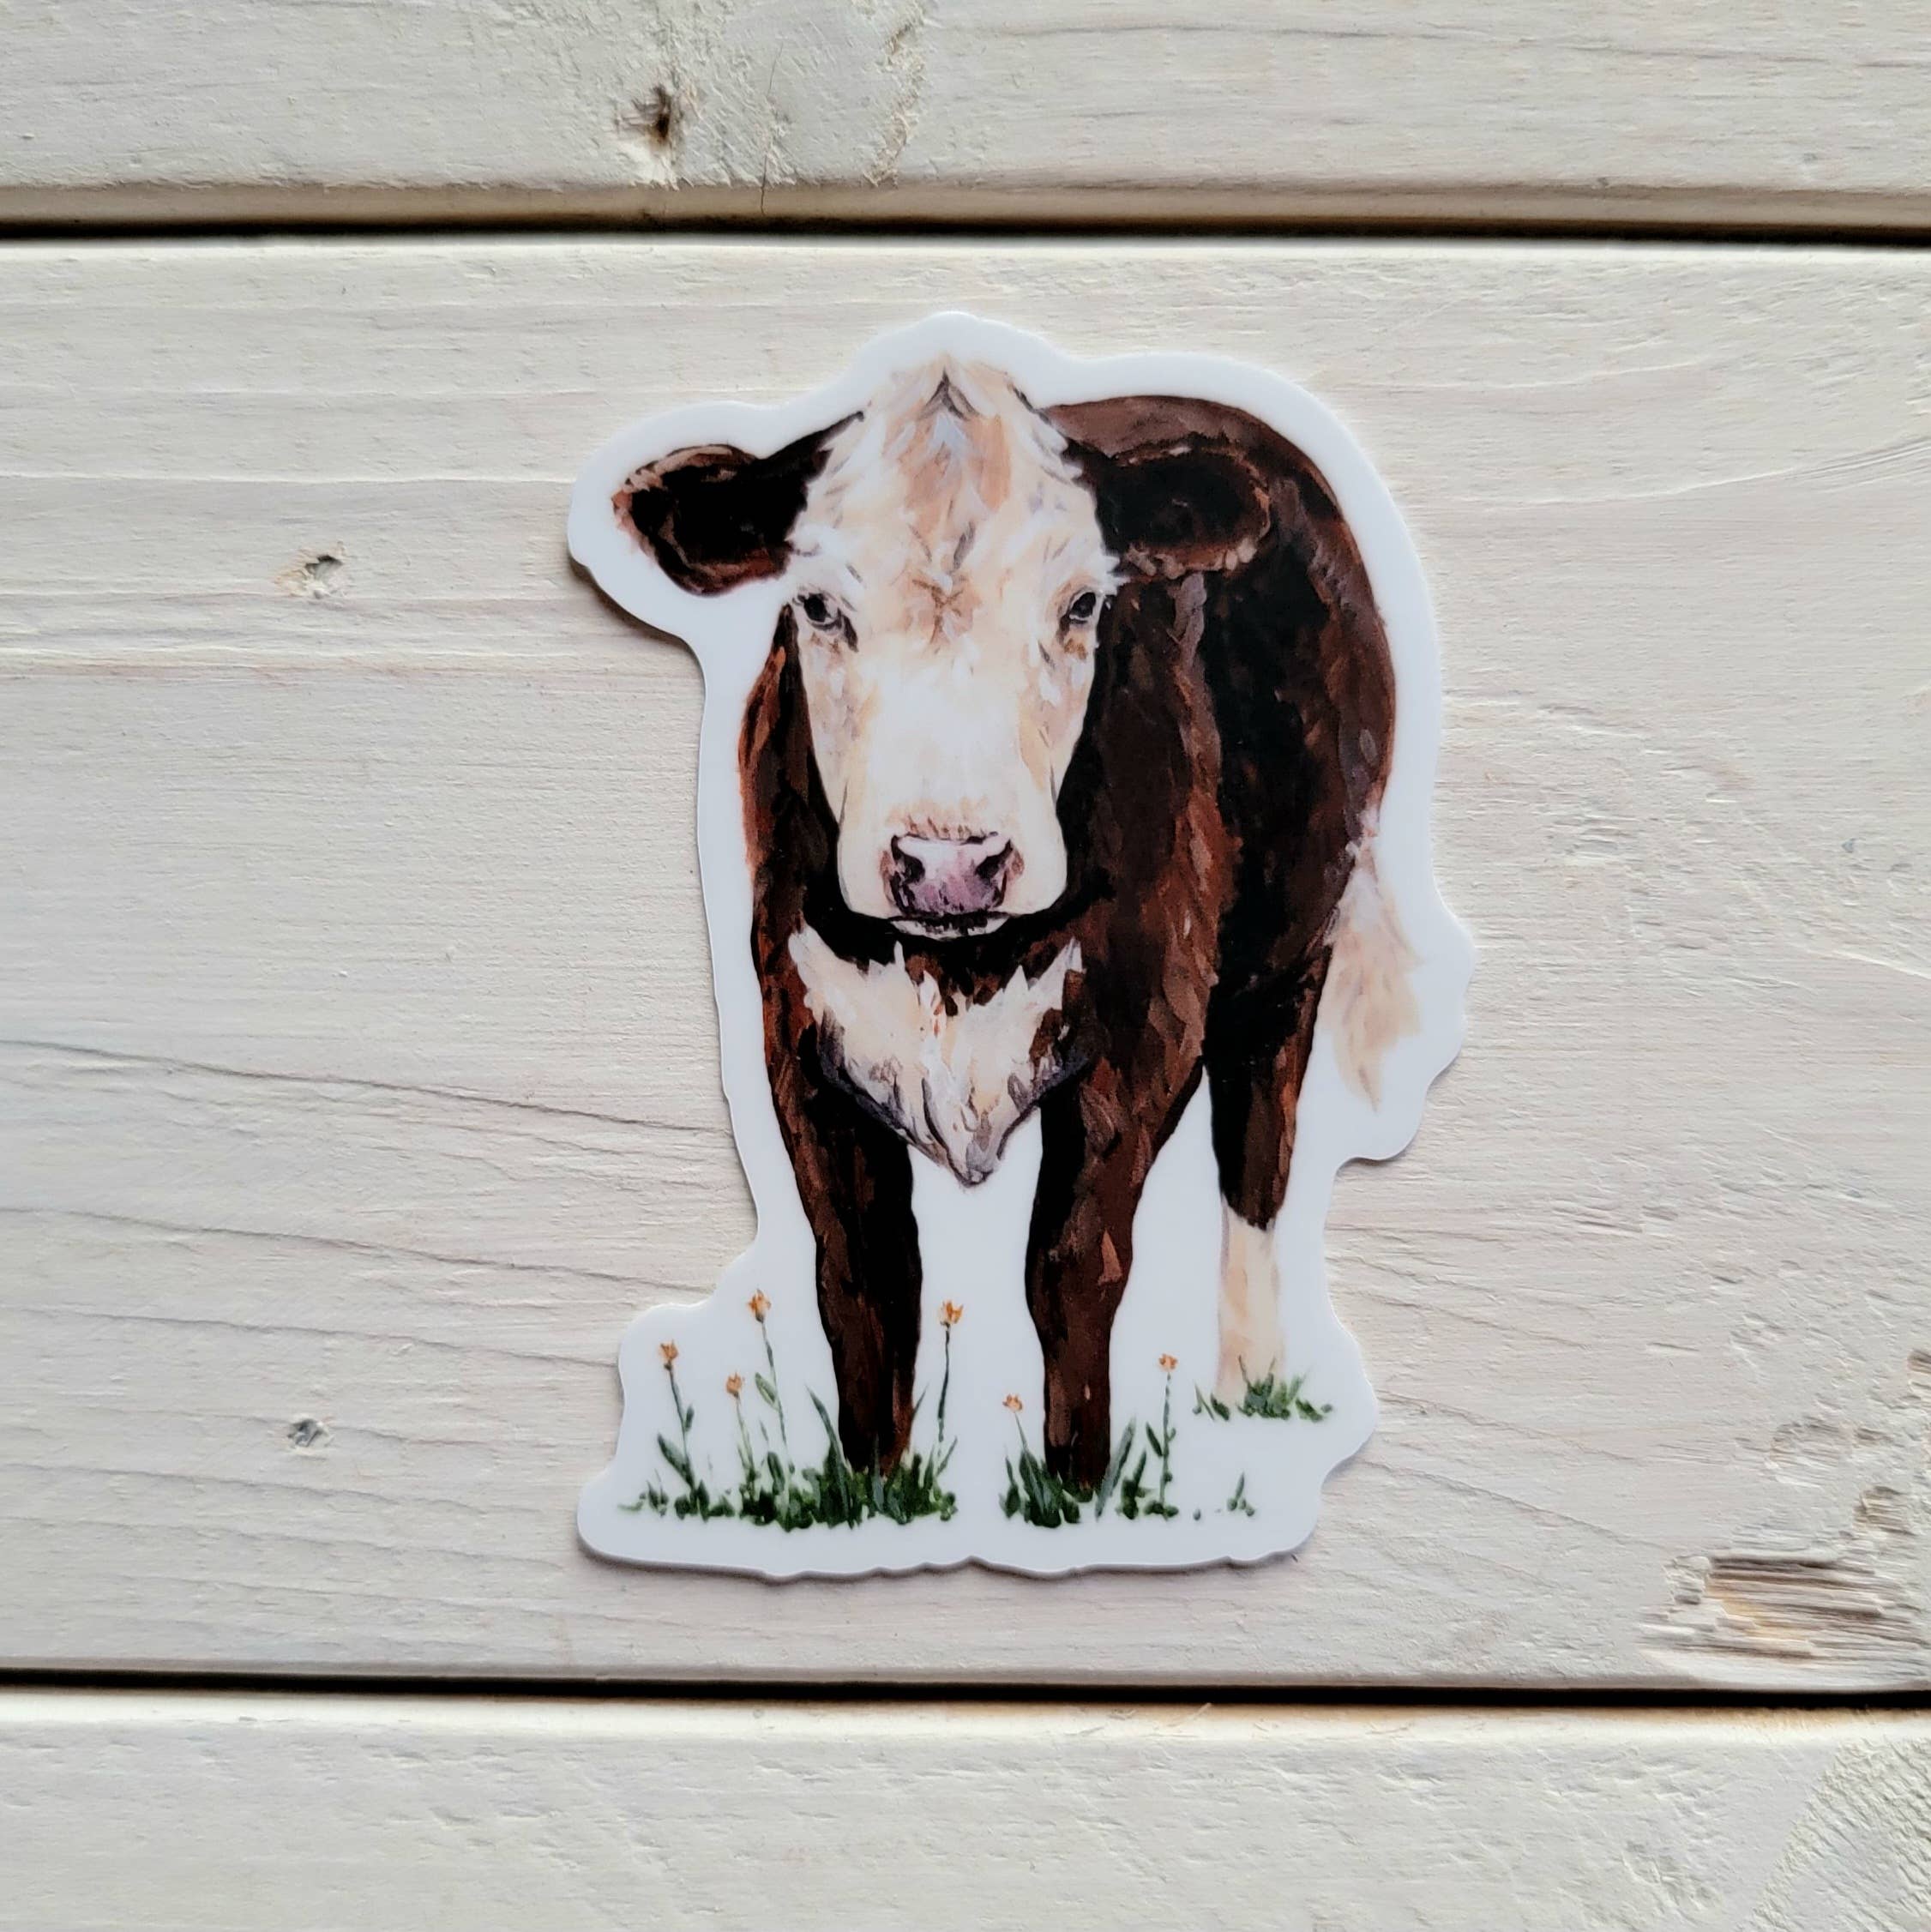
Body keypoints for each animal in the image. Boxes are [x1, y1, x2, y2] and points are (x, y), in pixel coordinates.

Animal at [607, 356, 1417, 1492]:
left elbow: (1071, 1266)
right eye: (817, 606)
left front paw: (1074, 1490)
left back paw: (1250, 1382)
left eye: (1080, 603)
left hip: (1290, 950)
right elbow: (864, 1278)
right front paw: (872, 1487)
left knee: (1258, 1152)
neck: (955, 968)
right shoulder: (796, 1037)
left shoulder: (1142, 1031)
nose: (948, 863)